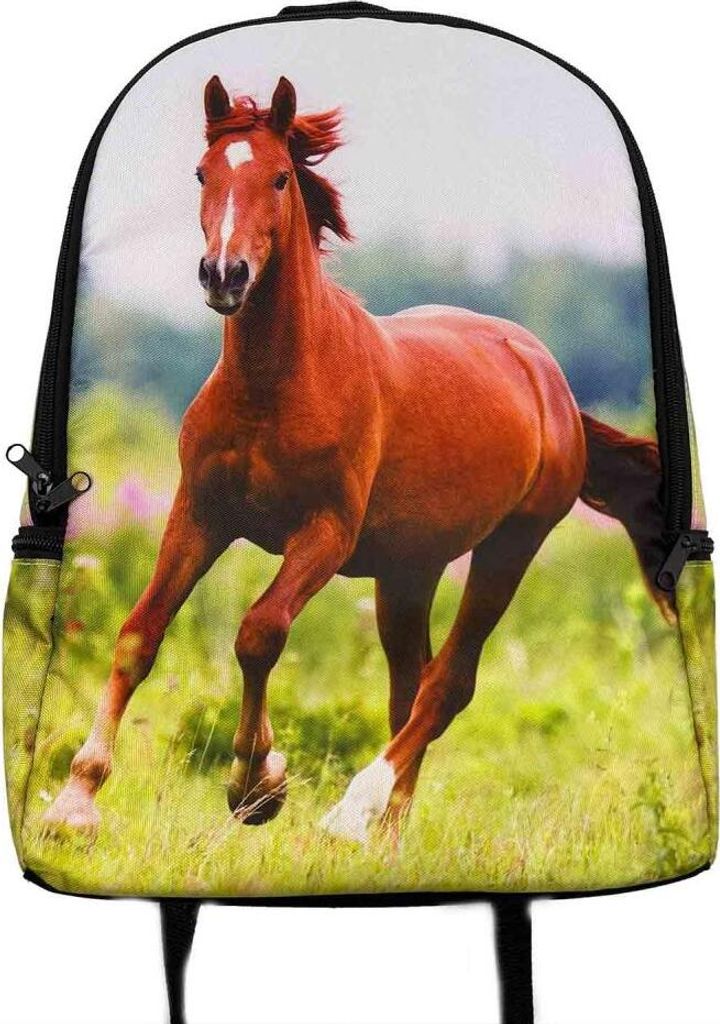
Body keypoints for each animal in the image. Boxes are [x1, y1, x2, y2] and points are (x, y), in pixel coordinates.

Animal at [45, 75, 671, 843]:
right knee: (412, 685)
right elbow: (140, 634)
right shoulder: (199, 514)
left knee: (446, 685)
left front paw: (257, 784)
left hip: (510, 547)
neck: (278, 386)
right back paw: (388, 837)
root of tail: (550, 383)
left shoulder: (325, 533)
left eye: (280, 177)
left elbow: (259, 633)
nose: (224, 274)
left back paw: (353, 811)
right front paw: (76, 800)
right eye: (203, 173)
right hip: (409, 570)